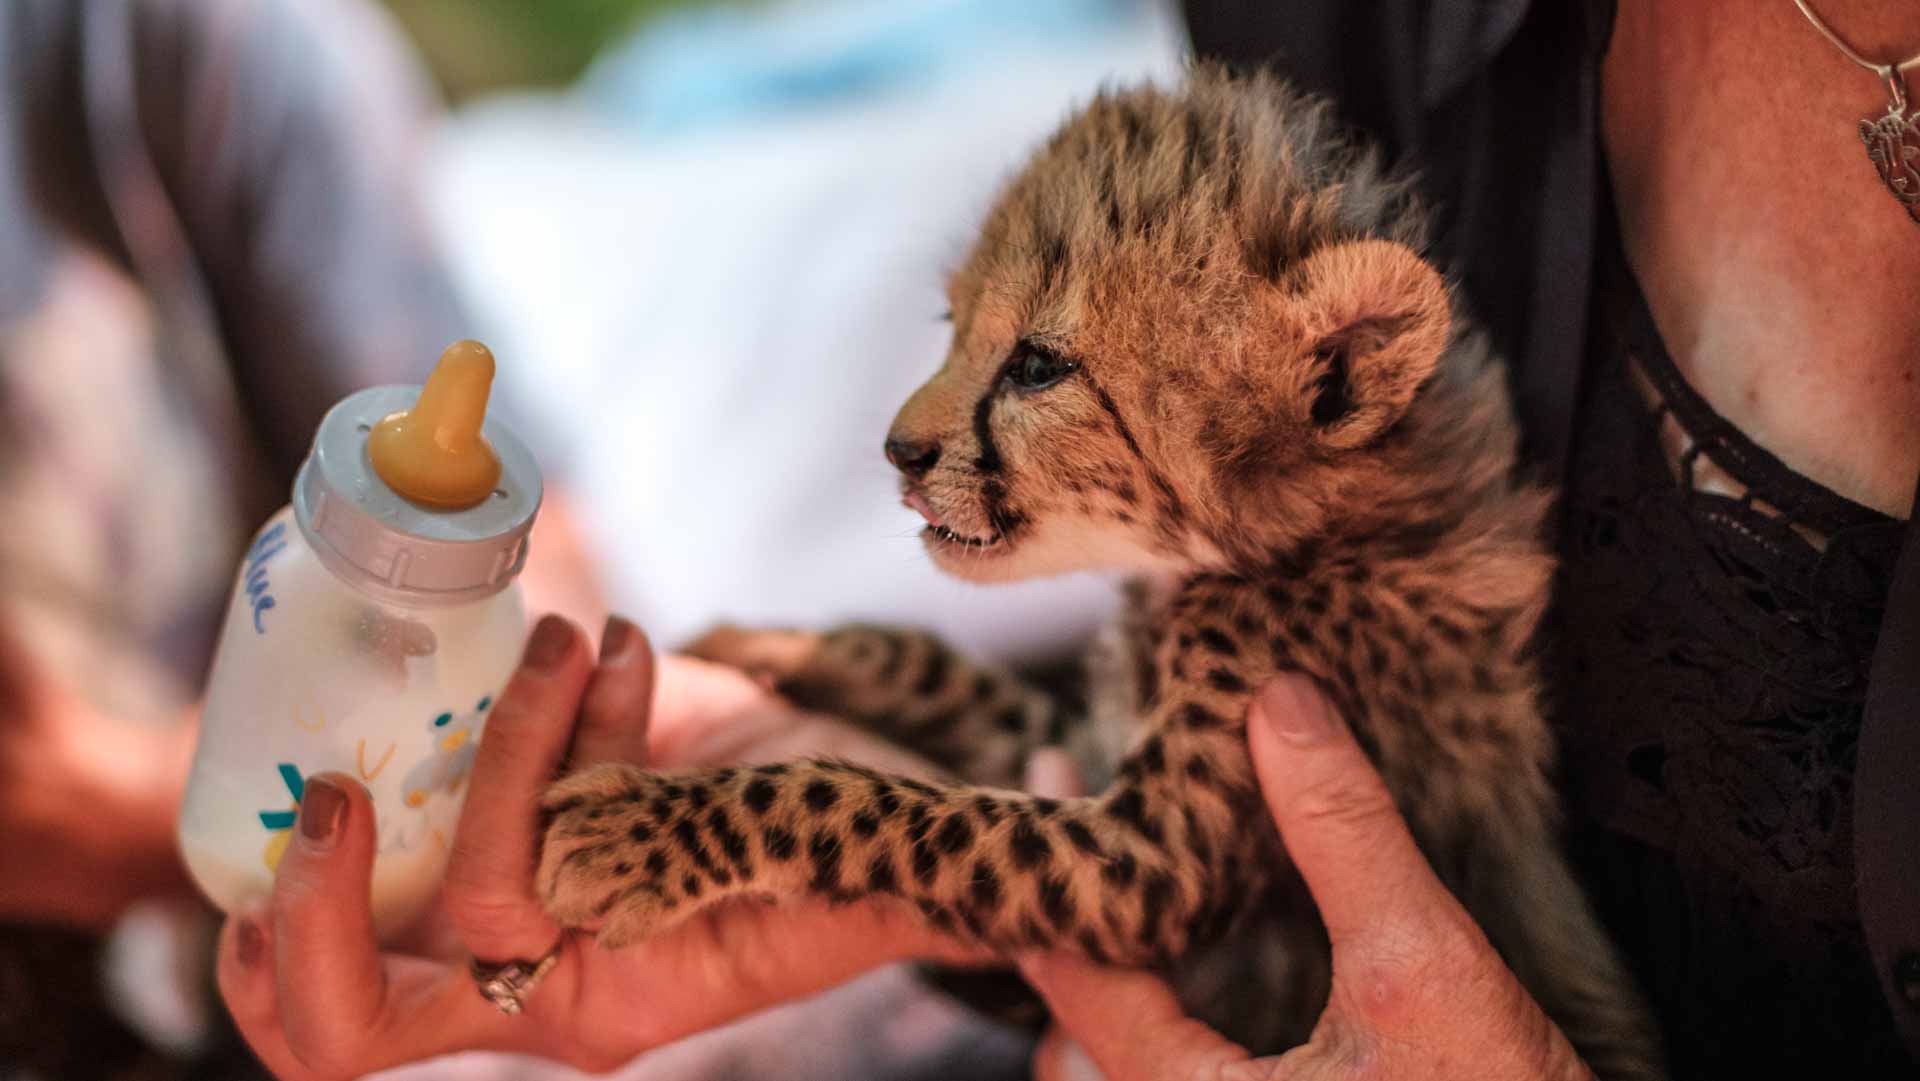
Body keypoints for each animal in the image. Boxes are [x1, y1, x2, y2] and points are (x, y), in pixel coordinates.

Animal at [536, 66, 1664, 1079]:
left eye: (1039, 367)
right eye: (953, 327)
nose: (898, 451)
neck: (1309, 541)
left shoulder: (1147, 867)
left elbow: (880, 802)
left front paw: (642, 830)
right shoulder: (1071, 744)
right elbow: (926, 667)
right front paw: (761, 644)